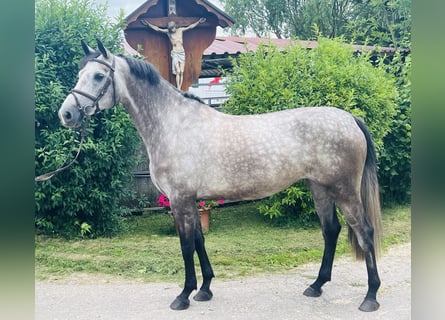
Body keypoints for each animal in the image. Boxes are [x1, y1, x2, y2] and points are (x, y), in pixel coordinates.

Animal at [56, 40, 382, 312]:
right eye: (80, 73)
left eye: (99, 76)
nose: (66, 114)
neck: (173, 124)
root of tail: (349, 118)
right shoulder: (191, 200)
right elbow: (199, 242)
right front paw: (204, 290)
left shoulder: (180, 200)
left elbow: (186, 246)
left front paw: (183, 296)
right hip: (320, 188)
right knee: (331, 231)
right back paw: (316, 286)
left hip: (344, 190)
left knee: (365, 232)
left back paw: (370, 297)